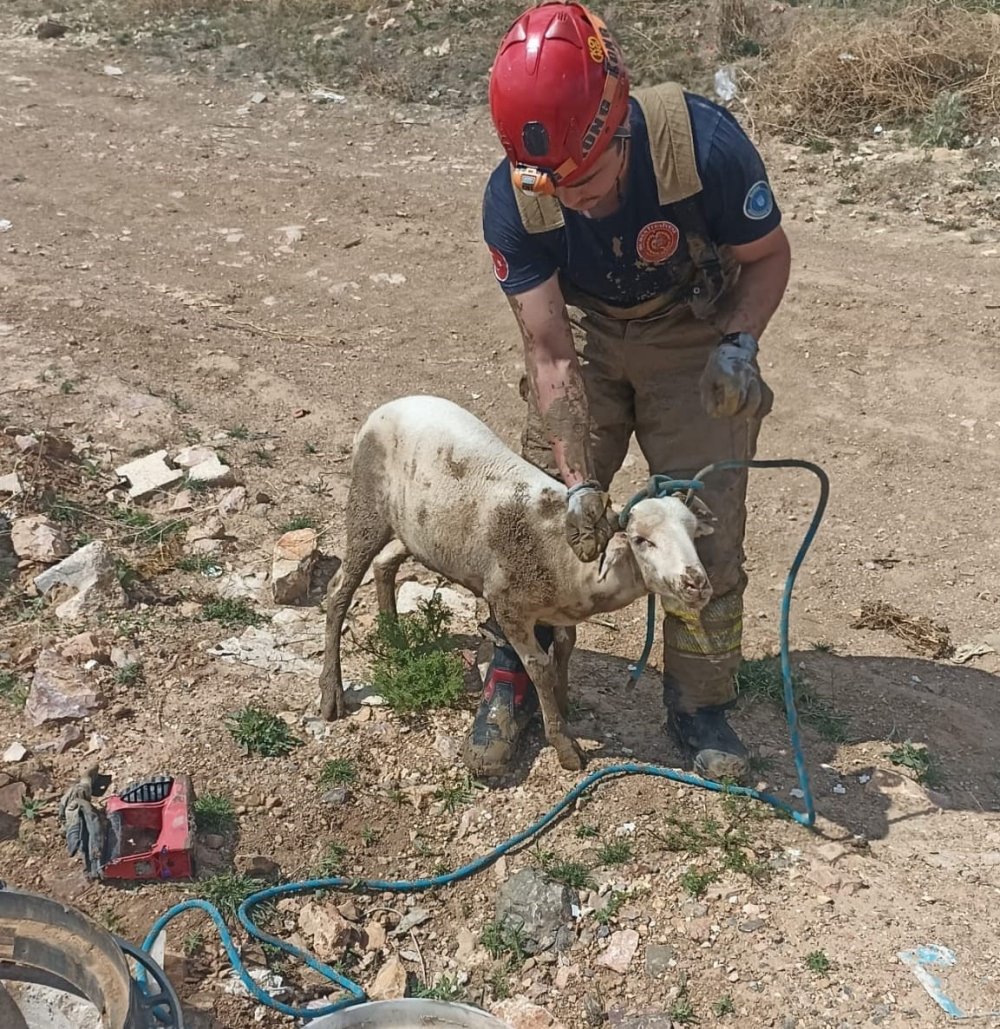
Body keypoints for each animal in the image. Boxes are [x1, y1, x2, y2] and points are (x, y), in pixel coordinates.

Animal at [316, 393, 716, 773]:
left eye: (693, 535)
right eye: (641, 540)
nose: (697, 584)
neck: (572, 559)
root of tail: (388, 408)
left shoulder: (560, 611)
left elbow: (566, 647)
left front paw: (563, 703)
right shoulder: (508, 606)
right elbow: (538, 667)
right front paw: (563, 743)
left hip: (416, 530)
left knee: (384, 564)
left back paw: (394, 639)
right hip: (367, 505)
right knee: (339, 591)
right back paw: (331, 692)